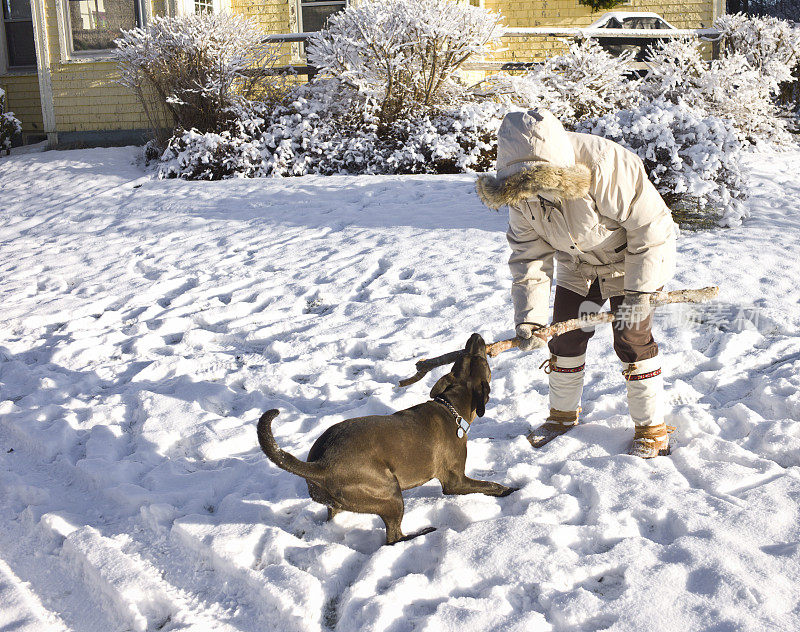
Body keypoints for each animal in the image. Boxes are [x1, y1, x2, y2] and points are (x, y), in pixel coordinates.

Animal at [258, 334, 520, 544]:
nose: (476, 336)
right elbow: (490, 485)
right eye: (481, 359)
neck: (451, 407)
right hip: (390, 493)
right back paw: (423, 532)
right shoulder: (455, 481)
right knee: (393, 538)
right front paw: (509, 489)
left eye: (465, 356)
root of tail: (320, 465)